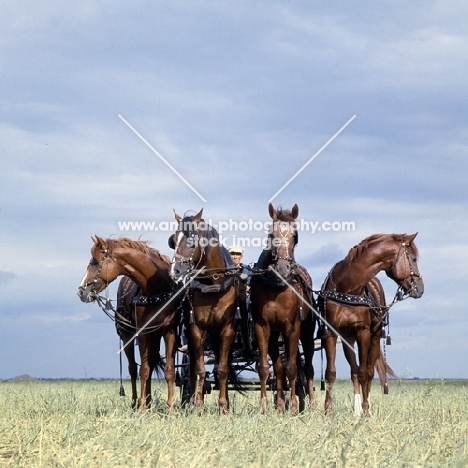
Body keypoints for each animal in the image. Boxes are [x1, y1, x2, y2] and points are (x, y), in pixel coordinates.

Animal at [77, 236, 179, 412]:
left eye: (95, 262)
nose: (81, 291)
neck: (157, 288)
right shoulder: (143, 333)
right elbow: (143, 370)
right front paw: (142, 408)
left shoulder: (169, 332)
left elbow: (169, 371)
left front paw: (171, 409)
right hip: (127, 335)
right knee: (133, 368)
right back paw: (136, 403)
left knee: (150, 363)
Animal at [168, 208, 241, 414]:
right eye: (173, 240)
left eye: (192, 240)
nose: (175, 271)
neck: (213, 283)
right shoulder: (197, 329)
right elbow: (199, 369)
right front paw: (198, 405)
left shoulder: (227, 330)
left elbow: (223, 369)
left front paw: (223, 407)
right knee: (193, 368)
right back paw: (191, 402)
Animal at [250, 203, 316, 414]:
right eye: (271, 234)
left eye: (295, 235)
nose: (282, 268)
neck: (276, 286)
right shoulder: (262, 327)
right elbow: (265, 368)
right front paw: (264, 407)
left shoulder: (292, 328)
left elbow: (293, 368)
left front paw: (294, 408)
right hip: (274, 336)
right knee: (278, 367)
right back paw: (279, 406)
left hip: (306, 332)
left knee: (308, 367)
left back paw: (311, 405)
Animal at [318, 232, 424, 414]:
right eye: (414, 259)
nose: (420, 288)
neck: (348, 287)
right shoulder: (330, 333)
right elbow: (331, 372)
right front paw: (328, 411)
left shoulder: (364, 332)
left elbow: (364, 372)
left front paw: (366, 410)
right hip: (348, 339)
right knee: (354, 371)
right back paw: (356, 411)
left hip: (374, 337)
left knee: (367, 371)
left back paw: (365, 408)